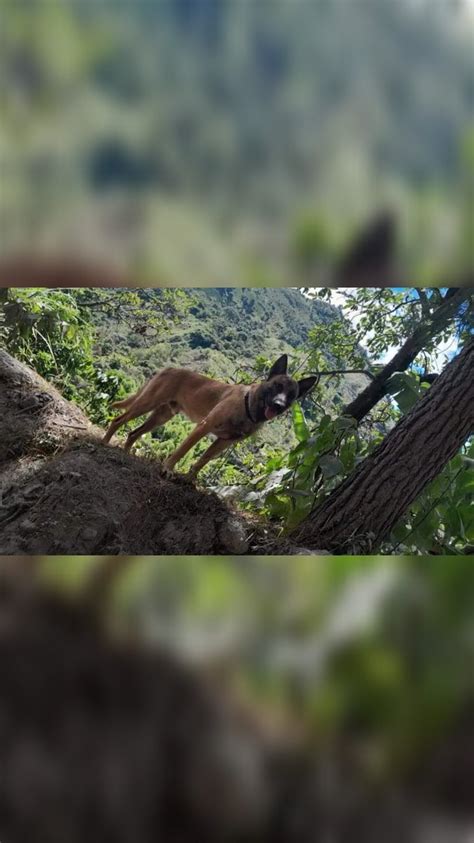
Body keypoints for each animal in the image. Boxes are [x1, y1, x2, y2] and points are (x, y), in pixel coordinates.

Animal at [104, 354, 318, 474]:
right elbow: (182, 452)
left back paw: (125, 453)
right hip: (147, 403)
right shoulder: (204, 427)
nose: (279, 404)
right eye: (277, 386)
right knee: (118, 420)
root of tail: (169, 368)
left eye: (291, 395)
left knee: (133, 433)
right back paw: (104, 442)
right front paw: (167, 468)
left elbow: (202, 461)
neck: (248, 409)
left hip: (161, 417)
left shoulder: (223, 443)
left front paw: (190, 479)